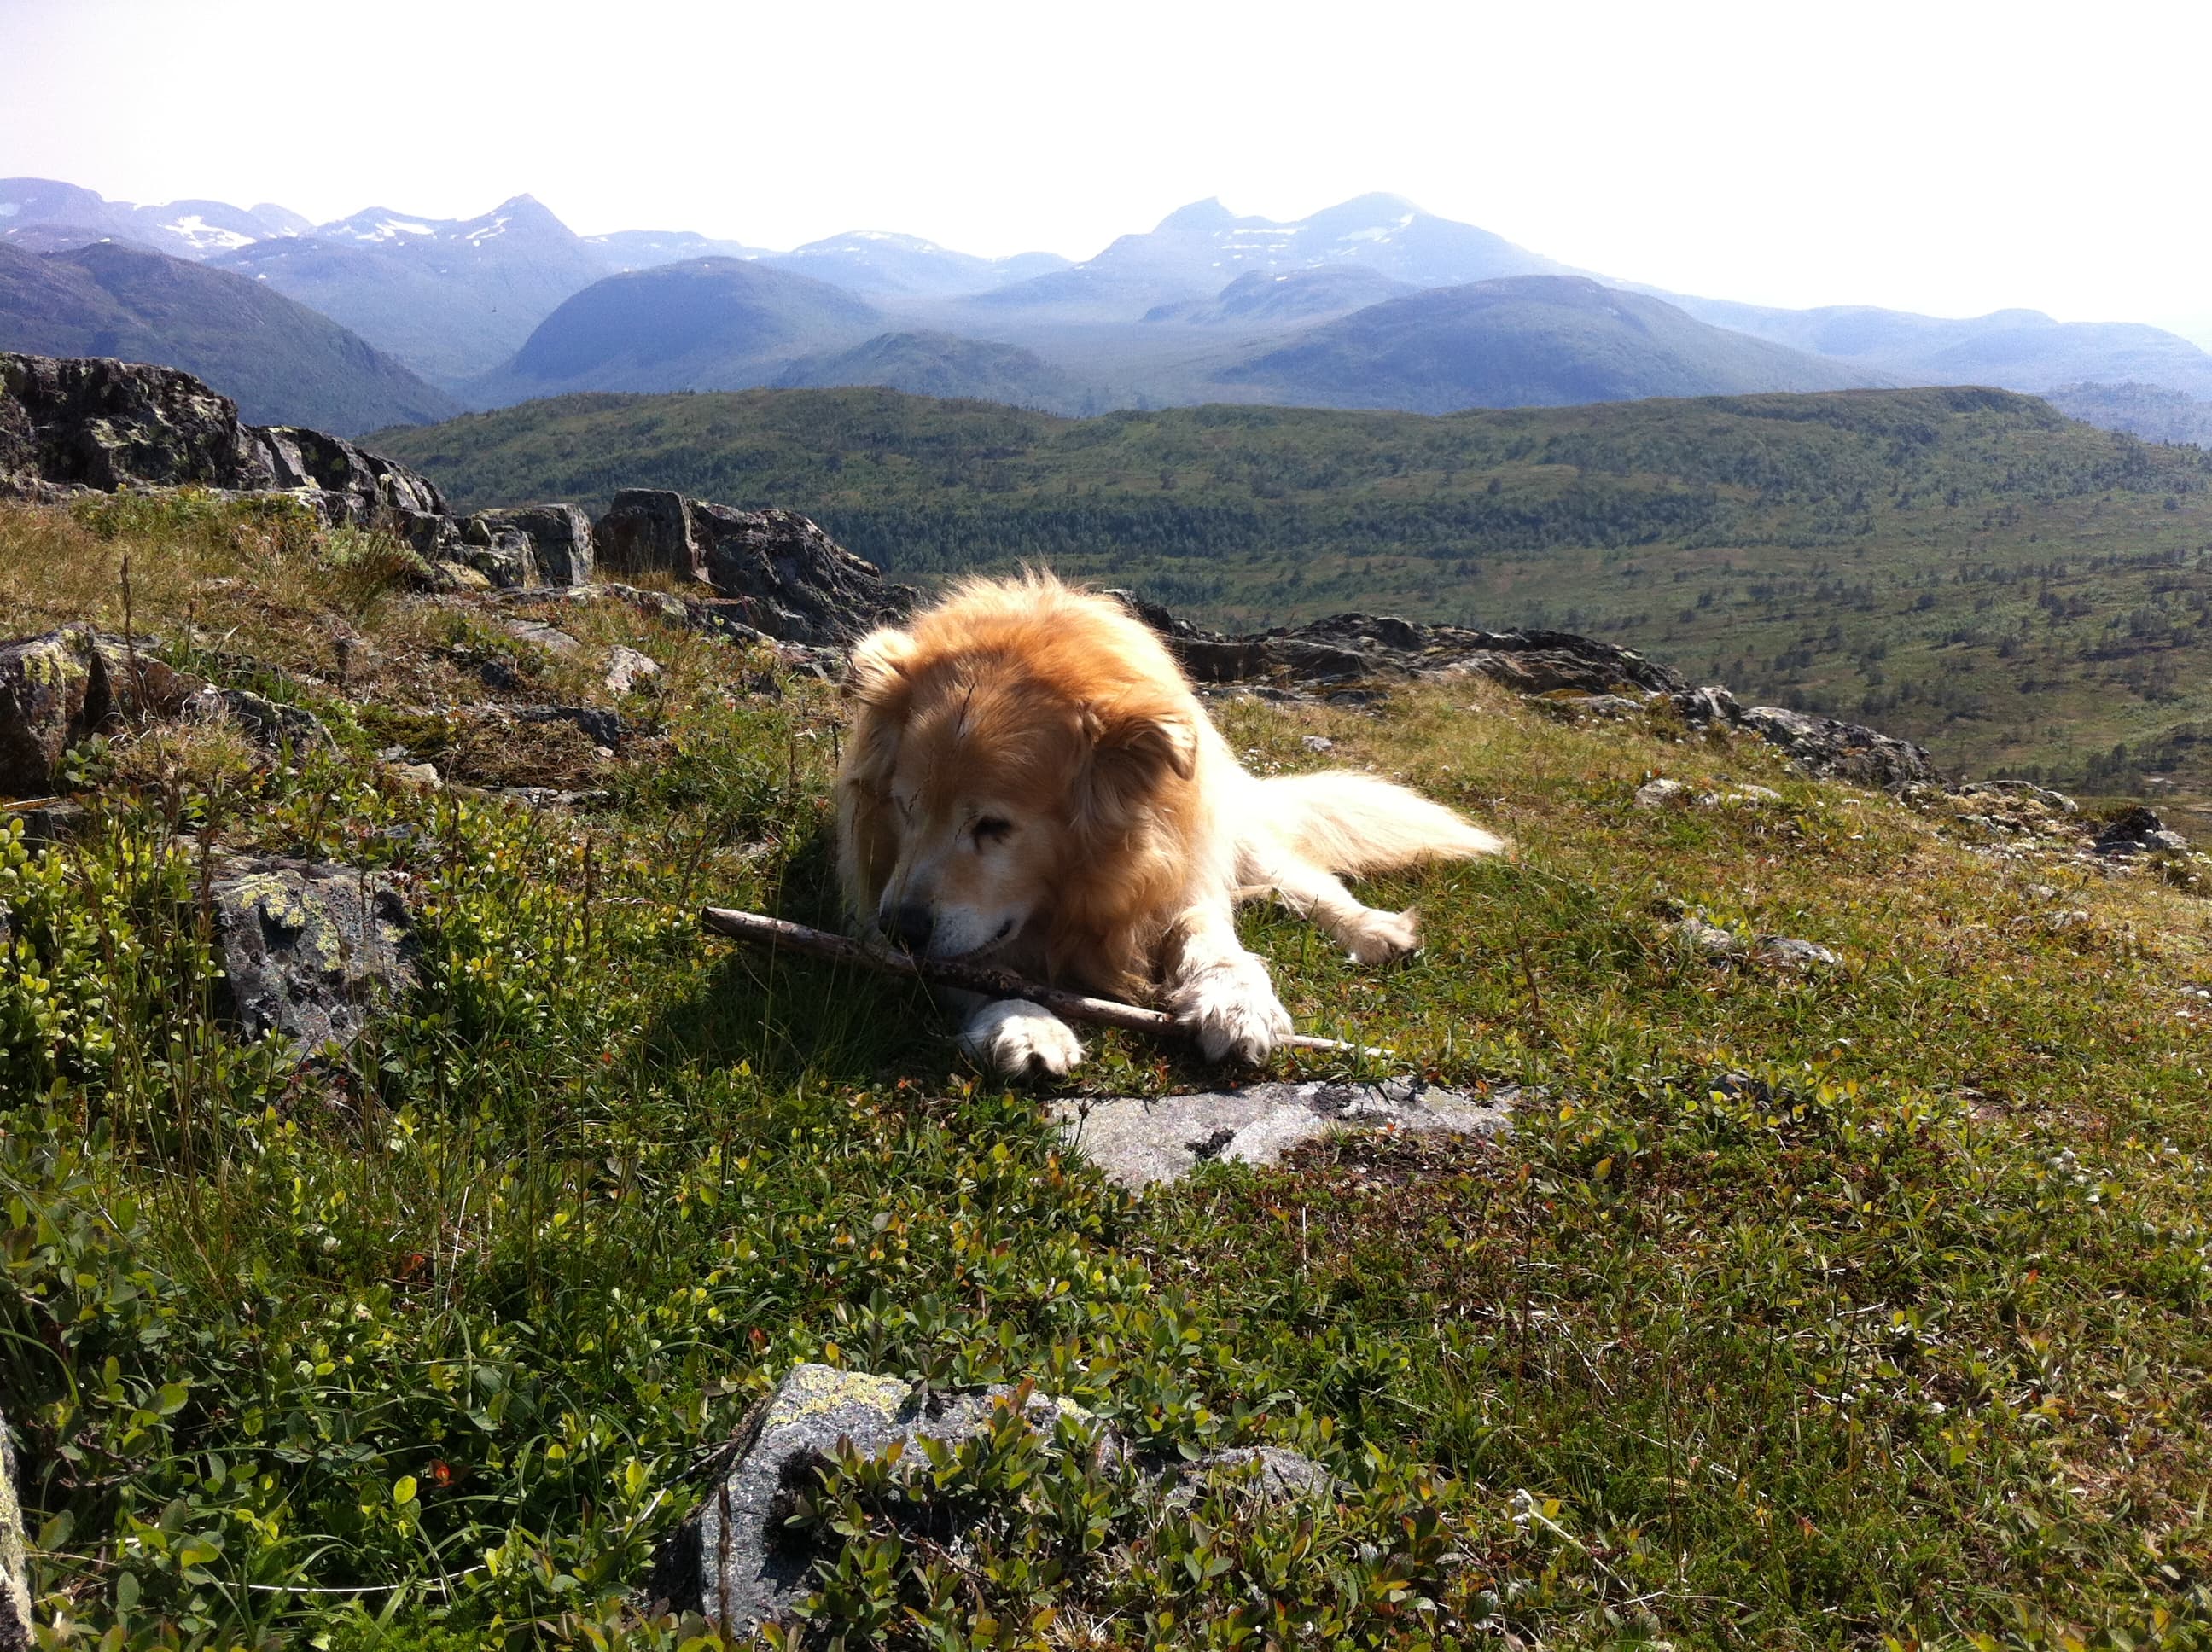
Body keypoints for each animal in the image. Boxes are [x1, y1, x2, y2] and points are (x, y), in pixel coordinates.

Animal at [831, 574, 1504, 1079]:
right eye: (906, 807)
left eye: (995, 825)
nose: (900, 930)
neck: (1075, 899)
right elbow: (974, 968)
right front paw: (1023, 1020)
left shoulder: (1180, 864)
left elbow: (1208, 934)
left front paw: (1235, 1000)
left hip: (1238, 833)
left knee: (1308, 882)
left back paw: (1372, 928)